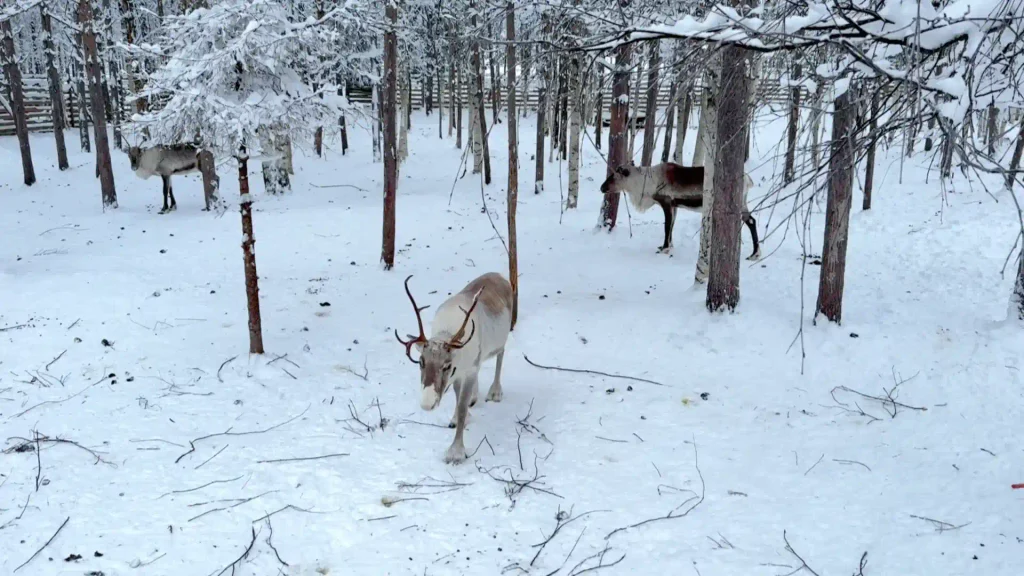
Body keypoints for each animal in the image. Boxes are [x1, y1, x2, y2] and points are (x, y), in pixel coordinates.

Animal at [395, 272, 513, 464]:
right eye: (421, 361)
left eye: (447, 365)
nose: (427, 404)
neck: (447, 331)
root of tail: (500, 276)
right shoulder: (459, 374)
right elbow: (458, 401)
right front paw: (456, 418)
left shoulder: (469, 370)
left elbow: (463, 407)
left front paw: (456, 451)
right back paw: (475, 396)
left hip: (500, 340)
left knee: (500, 355)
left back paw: (495, 392)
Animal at [599, 161, 761, 260]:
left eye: (614, 176)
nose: (602, 187)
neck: (644, 183)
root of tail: (749, 179)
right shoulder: (674, 206)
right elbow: (671, 226)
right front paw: (669, 246)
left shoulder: (666, 202)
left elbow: (666, 226)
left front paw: (664, 248)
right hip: (743, 203)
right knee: (751, 221)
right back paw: (754, 254)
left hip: (736, 204)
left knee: (749, 221)